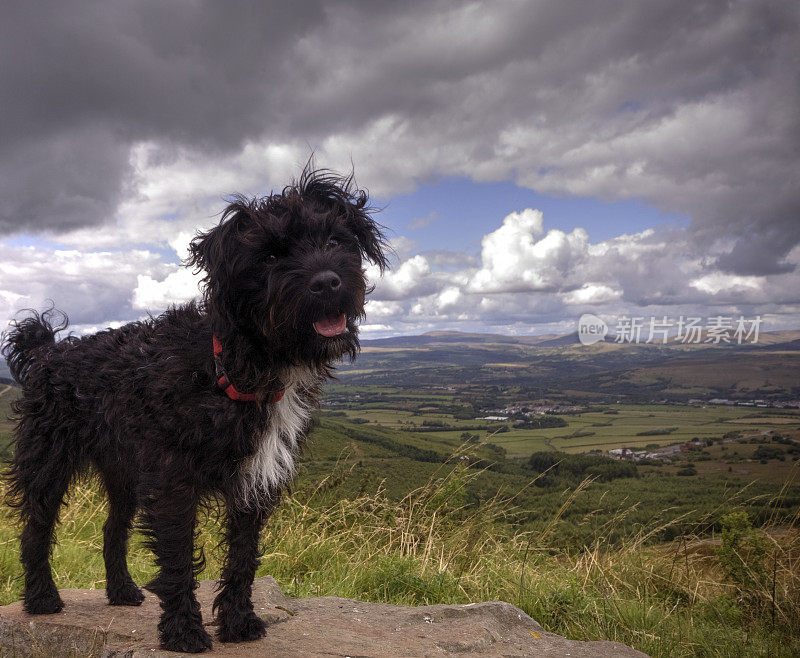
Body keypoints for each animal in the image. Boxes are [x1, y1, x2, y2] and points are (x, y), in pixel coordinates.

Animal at [0, 169, 388, 652]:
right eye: (271, 255)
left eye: (335, 240)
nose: (327, 282)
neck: (233, 367)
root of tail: (47, 351)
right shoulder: (172, 481)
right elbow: (179, 560)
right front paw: (184, 631)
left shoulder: (254, 479)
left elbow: (242, 559)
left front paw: (239, 623)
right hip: (48, 460)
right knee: (35, 529)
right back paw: (41, 598)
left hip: (124, 470)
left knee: (112, 529)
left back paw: (122, 591)